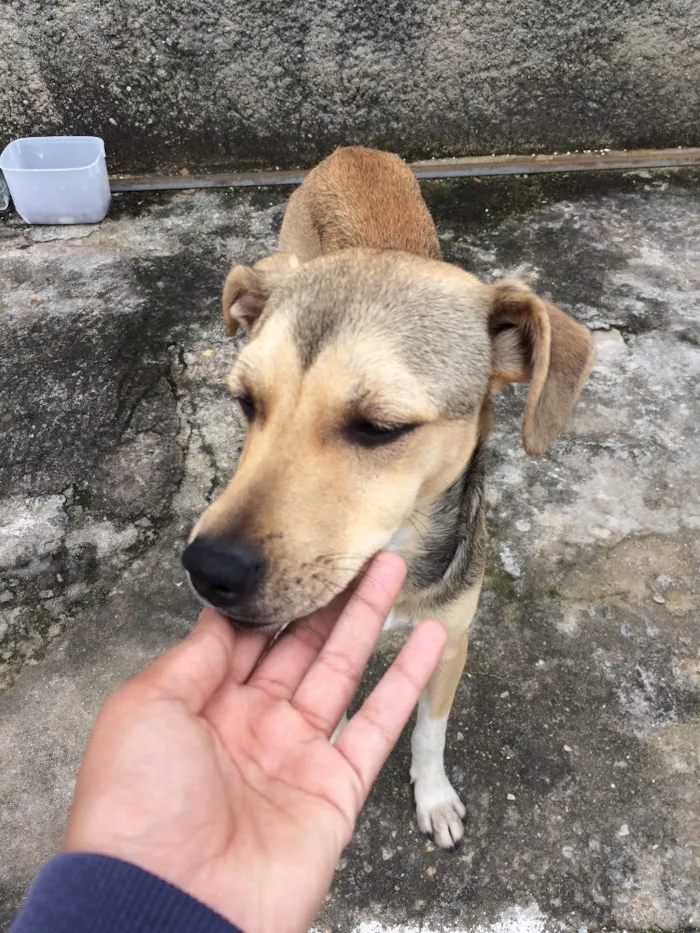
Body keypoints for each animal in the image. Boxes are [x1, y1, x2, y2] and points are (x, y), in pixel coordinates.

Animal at [183, 144, 592, 844]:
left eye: (380, 428)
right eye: (246, 403)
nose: (208, 570)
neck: (395, 555)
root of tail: (353, 150)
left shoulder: (449, 640)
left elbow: (430, 732)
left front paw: (434, 797)